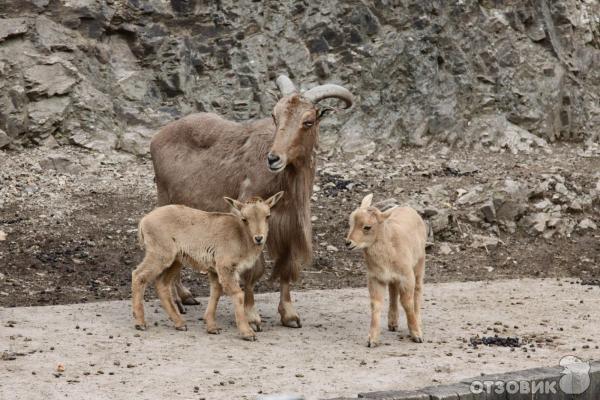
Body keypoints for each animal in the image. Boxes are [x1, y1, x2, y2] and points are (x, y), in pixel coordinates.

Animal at [150, 76, 354, 330]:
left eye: (308, 121)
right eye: (275, 117)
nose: (274, 158)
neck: (286, 182)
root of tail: (157, 137)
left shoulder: (288, 228)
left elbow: (286, 268)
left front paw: (289, 315)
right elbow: (254, 270)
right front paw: (251, 316)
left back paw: (186, 296)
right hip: (165, 200)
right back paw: (177, 299)